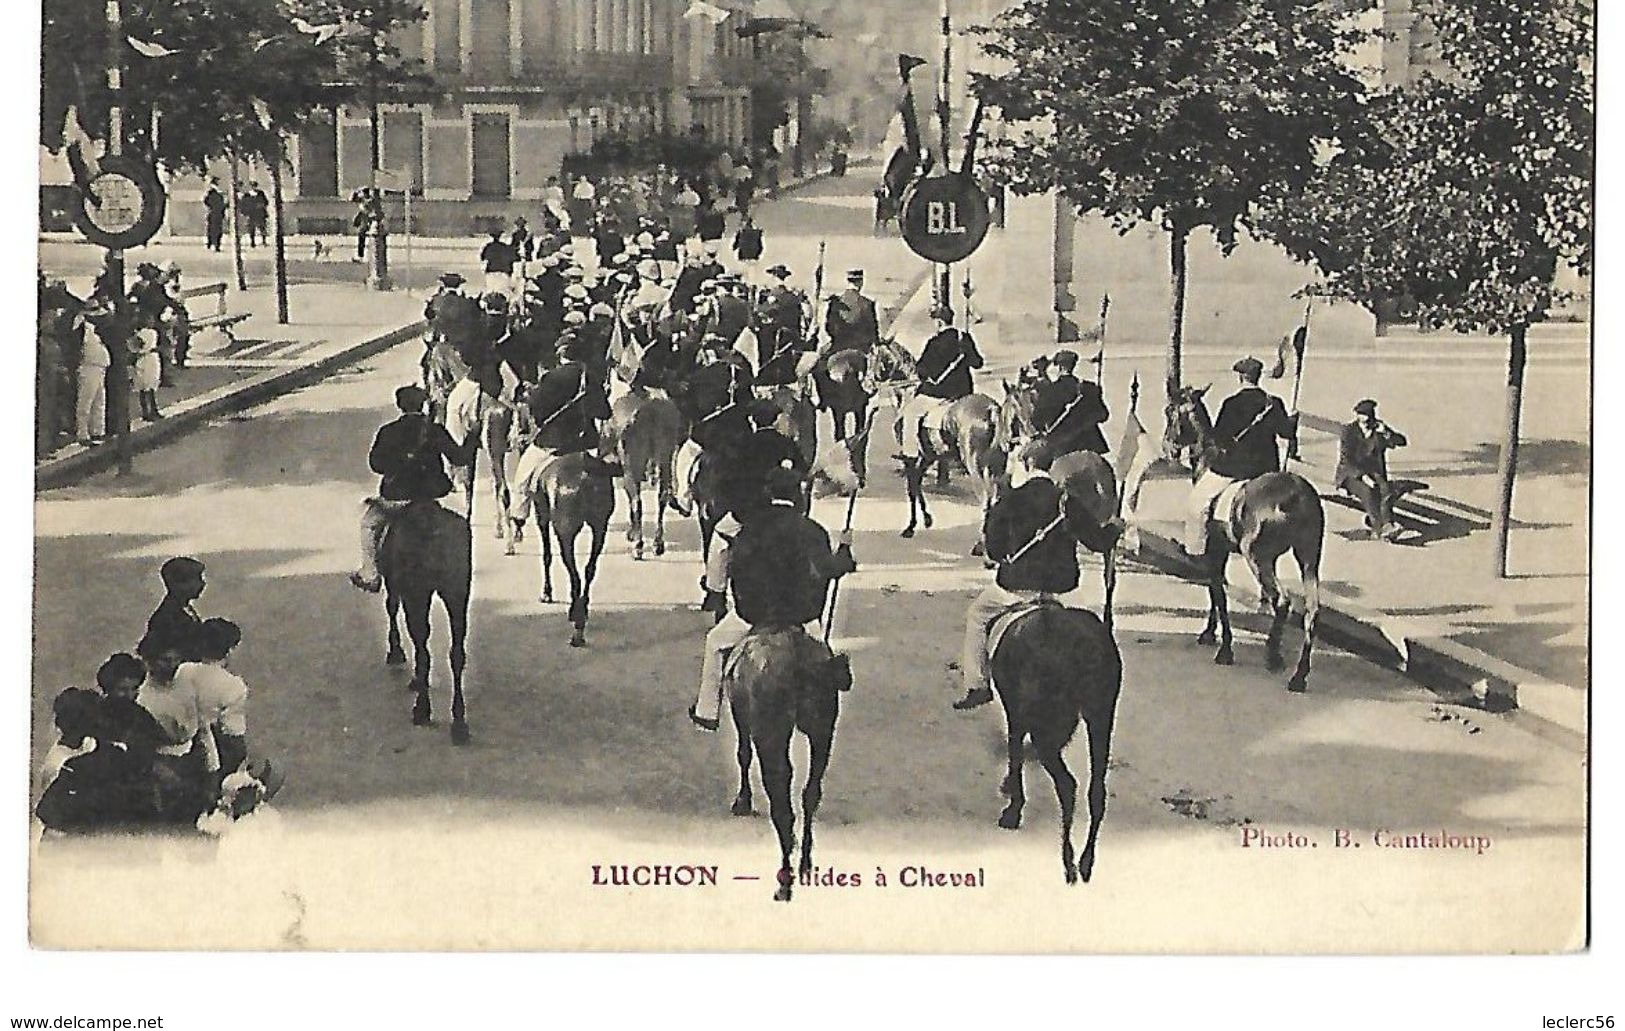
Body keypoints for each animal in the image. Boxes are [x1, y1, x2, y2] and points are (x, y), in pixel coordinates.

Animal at [381, 497, 474, 738]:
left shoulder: (399, 586)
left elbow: (392, 607)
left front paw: (396, 652)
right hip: (457, 590)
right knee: (456, 652)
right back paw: (459, 722)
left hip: (418, 592)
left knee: (422, 647)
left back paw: (422, 709)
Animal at [604, 388, 685, 559]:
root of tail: (650, 410)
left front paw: (631, 534)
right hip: (664, 457)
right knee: (662, 496)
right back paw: (658, 544)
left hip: (632, 463)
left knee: (637, 502)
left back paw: (638, 546)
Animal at [731, 621, 845, 897]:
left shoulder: (741, 718)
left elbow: (743, 753)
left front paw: (742, 801)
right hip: (823, 727)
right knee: (811, 792)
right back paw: (805, 863)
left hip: (770, 733)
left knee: (781, 799)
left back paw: (785, 879)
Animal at [981, 601, 1124, 884]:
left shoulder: (1016, 716)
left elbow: (1015, 757)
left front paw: (1012, 809)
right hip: (1100, 716)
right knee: (1096, 792)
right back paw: (1086, 861)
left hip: (1047, 730)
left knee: (1068, 785)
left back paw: (1068, 861)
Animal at [1163, 385, 1326, 689]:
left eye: (1170, 411)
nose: (1168, 446)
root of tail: (1295, 496)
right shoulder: (1222, 551)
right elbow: (1217, 591)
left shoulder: (1214, 551)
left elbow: (1218, 594)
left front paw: (1222, 645)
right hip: (1309, 556)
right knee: (1312, 610)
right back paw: (1299, 674)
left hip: (1258, 557)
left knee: (1281, 601)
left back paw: (1273, 655)